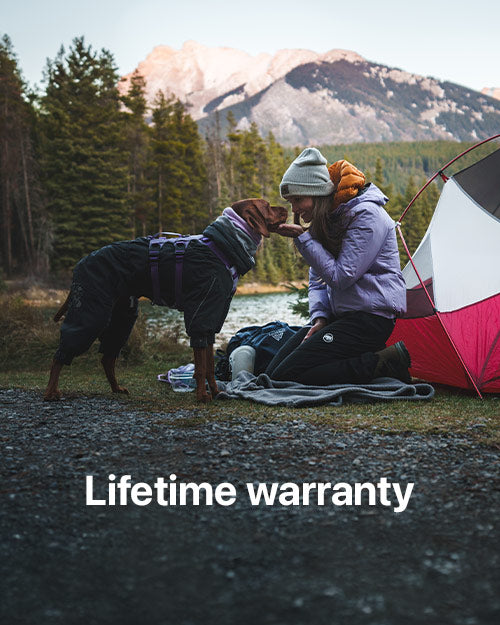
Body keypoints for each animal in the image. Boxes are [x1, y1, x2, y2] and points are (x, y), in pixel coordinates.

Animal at [45, 201, 288, 404]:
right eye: (267, 206)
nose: (286, 206)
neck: (223, 246)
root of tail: (81, 263)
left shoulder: (211, 320)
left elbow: (209, 367)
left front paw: (217, 392)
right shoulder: (200, 315)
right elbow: (201, 367)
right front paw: (202, 396)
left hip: (122, 318)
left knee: (107, 357)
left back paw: (116, 388)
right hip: (91, 311)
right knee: (60, 355)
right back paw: (51, 392)